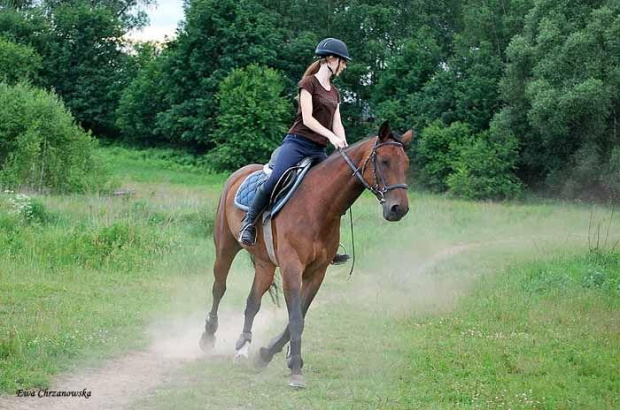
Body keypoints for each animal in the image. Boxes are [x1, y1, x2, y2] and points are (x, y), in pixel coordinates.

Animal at [199, 121, 412, 388]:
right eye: (384, 161)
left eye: (406, 164)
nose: (399, 209)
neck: (318, 204)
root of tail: (239, 173)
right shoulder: (292, 267)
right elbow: (296, 318)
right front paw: (295, 370)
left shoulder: (317, 272)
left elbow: (298, 315)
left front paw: (267, 354)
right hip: (225, 247)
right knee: (219, 288)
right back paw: (208, 337)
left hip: (265, 264)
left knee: (252, 303)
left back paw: (242, 348)